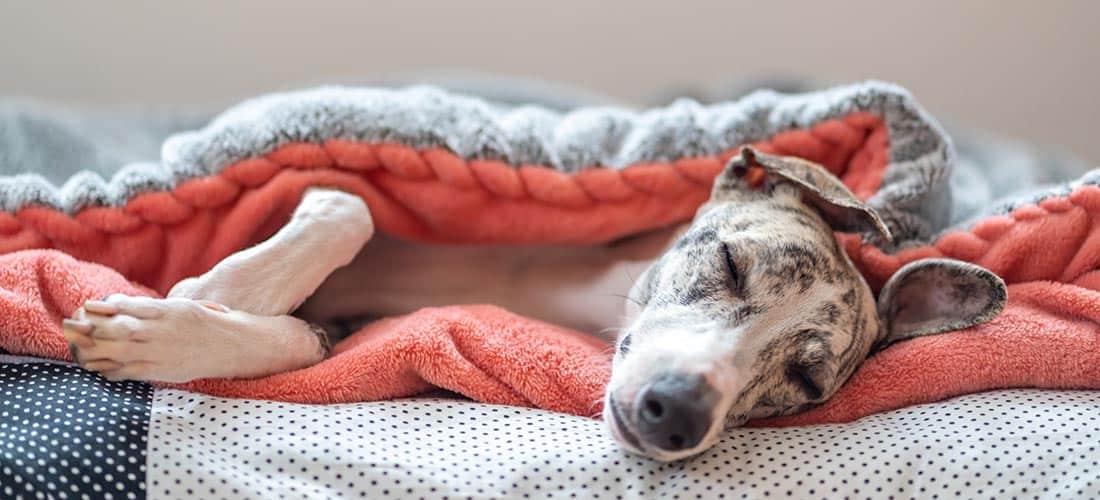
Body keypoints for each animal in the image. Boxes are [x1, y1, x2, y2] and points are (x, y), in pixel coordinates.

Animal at [60, 147, 1007, 461]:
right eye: (732, 264)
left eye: (809, 385)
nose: (674, 414)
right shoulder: (332, 191)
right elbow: (347, 203)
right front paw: (208, 292)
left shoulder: (355, 327)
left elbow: (306, 339)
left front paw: (165, 333)